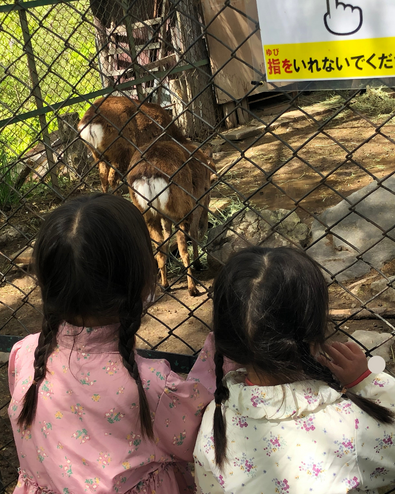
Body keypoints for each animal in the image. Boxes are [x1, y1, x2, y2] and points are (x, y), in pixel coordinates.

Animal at [127, 139, 217, 296]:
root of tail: (147, 173)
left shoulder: (166, 218)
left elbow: (167, 238)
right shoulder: (199, 200)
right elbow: (195, 233)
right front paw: (198, 263)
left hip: (149, 215)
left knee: (159, 246)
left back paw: (165, 284)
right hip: (182, 210)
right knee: (182, 249)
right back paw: (192, 288)